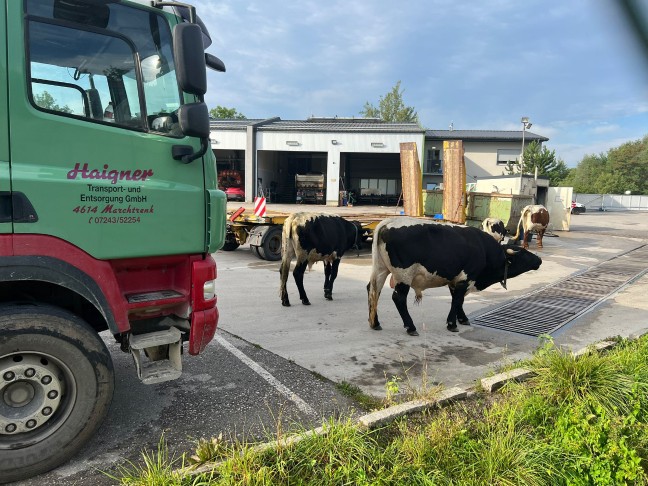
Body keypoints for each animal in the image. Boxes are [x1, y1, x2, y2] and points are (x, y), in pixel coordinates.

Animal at [364, 218, 540, 336]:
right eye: (523, 253)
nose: (539, 259)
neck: (484, 249)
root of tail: (387, 222)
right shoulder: (465, 278)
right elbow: (457, 300)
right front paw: (452, 323)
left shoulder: (455, 279)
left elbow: (458, 300)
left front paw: (462, 318)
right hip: (404, 275)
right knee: (398, 298)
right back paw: (411, 327)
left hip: (380, 269)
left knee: (373, 291)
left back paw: (375, 323)